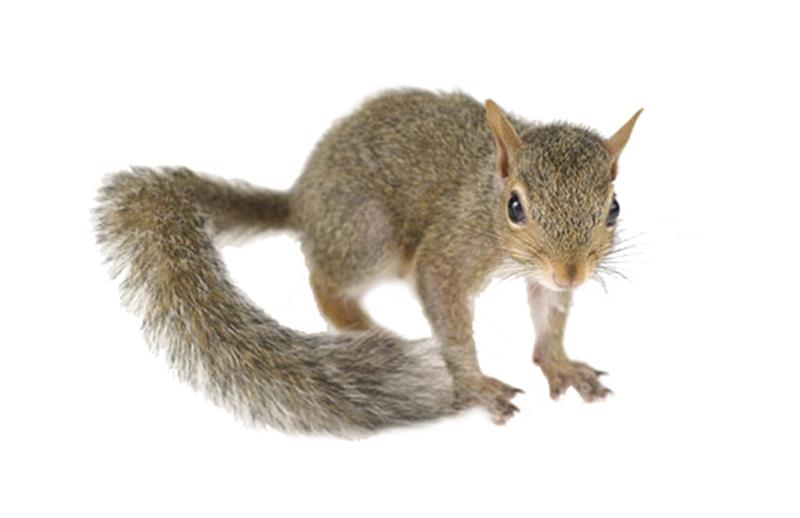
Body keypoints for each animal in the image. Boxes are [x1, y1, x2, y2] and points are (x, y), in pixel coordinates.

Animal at [95, 89, 641, 435]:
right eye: (515, 207)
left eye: (614, 208)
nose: (571, 272)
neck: (485, 191)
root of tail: (300, 202)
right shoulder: (448, 249)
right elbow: (450, 319)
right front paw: (472, 386)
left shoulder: (543, 279)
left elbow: (549, 314)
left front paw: (560, 364)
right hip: (369, 234)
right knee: (324, 281)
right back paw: (365, 329)